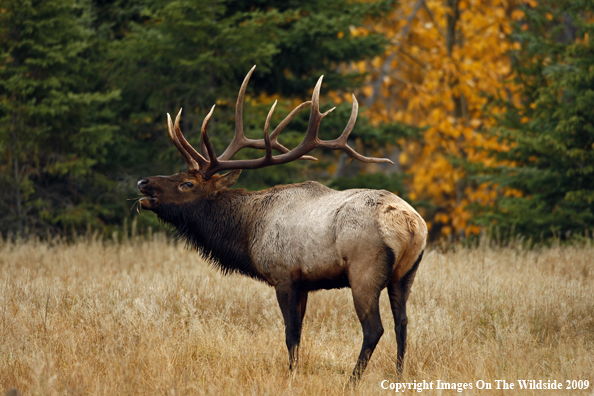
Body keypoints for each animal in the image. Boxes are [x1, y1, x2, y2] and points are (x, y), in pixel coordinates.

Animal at [138, 66, 426, 382]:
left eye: (187, 184)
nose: (143, 183)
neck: (247, 233)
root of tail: (411, 223)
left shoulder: (284, 275)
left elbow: (291, 333)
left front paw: (291, 375)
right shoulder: (305, 283)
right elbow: (299, 331)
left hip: (364, 271)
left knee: (374, 328)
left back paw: (352, 380)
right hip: (405, 274)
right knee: (403, 323)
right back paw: (398, 376)